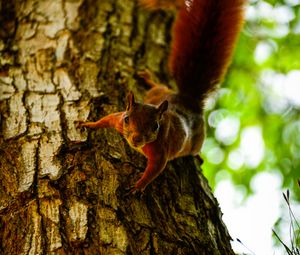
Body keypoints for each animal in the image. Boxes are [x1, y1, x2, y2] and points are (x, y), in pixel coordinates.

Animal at [79, 0, 246, 192]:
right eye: (127, 119)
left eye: (155, 127)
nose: (136, 139)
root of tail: (189, 99)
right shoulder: (118, 120)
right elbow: (106, 119)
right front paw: (88, 124)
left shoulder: (160, 152)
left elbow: (155, 170)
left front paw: (138, 186)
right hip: (159, 93)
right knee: (159, 86)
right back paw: (147, 78)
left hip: (198, 138)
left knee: (195, 148)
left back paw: (197, 156)